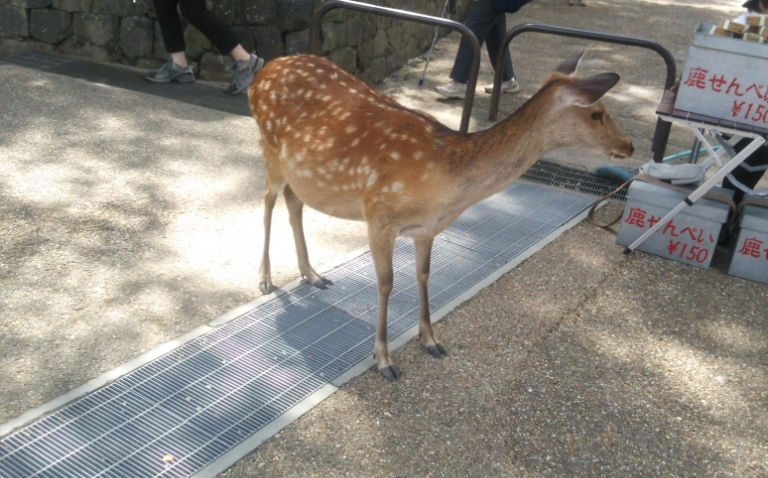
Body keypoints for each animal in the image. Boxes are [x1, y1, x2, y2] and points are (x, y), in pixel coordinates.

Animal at [248, 51, 633, 381]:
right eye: (596, 112)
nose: (629, 146)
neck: (444, 184)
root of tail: (262, 72)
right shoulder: (378, 213)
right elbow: (386, 284)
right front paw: (383, 359)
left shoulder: (427, 228)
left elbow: (423, 274)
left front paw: (430, 339)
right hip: (269, 149)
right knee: (267, 200)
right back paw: (265, 278)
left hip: (297, 170)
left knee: (294, 201)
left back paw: (311, 274)